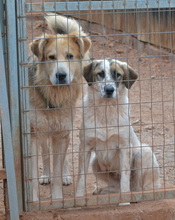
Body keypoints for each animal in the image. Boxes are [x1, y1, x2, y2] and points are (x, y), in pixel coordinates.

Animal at [28, 12, 91, 200]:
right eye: (51, 57)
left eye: (70, 56)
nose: (61, 75)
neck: (54, 96)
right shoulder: (34, 133)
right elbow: (34, 174)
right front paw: (34, 201)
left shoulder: (62, 133)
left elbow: (58, 168)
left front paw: (57, 198)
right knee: (45, 153)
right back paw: (45, 175)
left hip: (66, 131)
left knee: (63, 158)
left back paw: (66, 175)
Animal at [76, 58, 161, 199]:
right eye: (100, 74)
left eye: (118, 75)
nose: (109, 89)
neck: (106, 109)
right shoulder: (85, 147)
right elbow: (81, 178)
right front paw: (78, 198)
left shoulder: (124, 146)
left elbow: (125, 179)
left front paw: (125, 200)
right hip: (95, 162)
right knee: (117, 187)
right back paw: (102, 191)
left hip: (144, 152)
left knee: (138, 188)